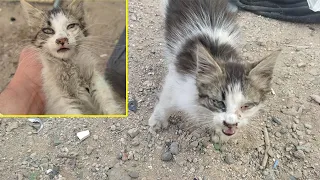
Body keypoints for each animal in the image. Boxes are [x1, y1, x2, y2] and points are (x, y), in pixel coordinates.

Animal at [149, 0, 282, 141]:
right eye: (218, 102)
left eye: (246, 106)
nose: (230, 124)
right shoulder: (179, 76)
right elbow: (167, 99)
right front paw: (157, 119)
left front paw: (220, 134)